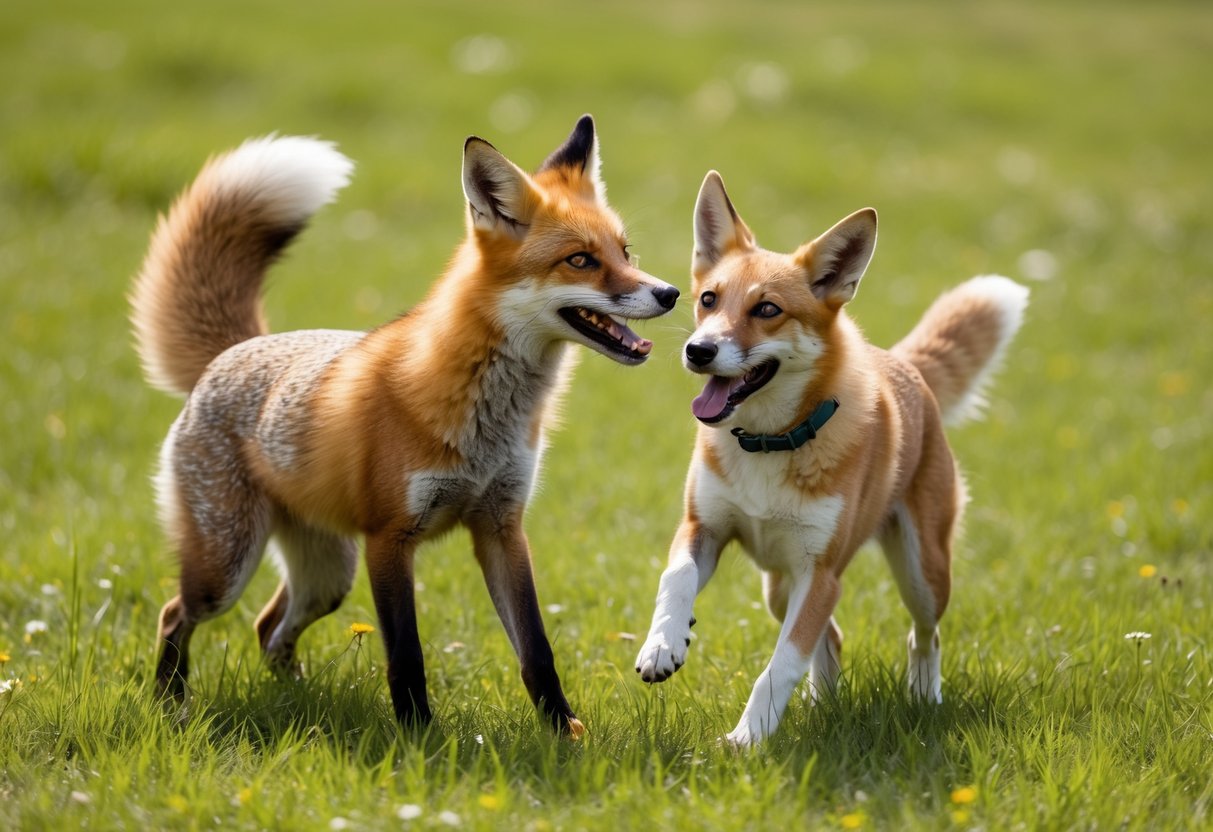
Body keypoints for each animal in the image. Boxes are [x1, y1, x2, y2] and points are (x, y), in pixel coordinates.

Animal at [130, 116, 679, 736]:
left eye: (624, 251)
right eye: (581, 260)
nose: (671, 293)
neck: (486, 420)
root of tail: (239, 347)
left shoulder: (502, 526)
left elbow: (536, 650)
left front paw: (563, 731)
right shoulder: (389, 540)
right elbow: (406, 655)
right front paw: (418, 736)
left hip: (327, 576)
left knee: (268, 628)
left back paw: (298, 697)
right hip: (226, 567)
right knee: (176, 613)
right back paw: (170, 701)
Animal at [635, 171, 1027, 745]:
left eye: (767, 309)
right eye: (708, 299)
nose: (698, 351)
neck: (770, 441)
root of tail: (904, 364)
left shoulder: (821, 574)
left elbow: (779, 668)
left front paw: (746, 741)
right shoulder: (702, 529)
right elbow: (676, 580)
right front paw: (663, 644)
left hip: (921, 574)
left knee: (923, 636)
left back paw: (923, 697)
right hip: (780, 587)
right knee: (833, 638)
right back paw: (823, 705)